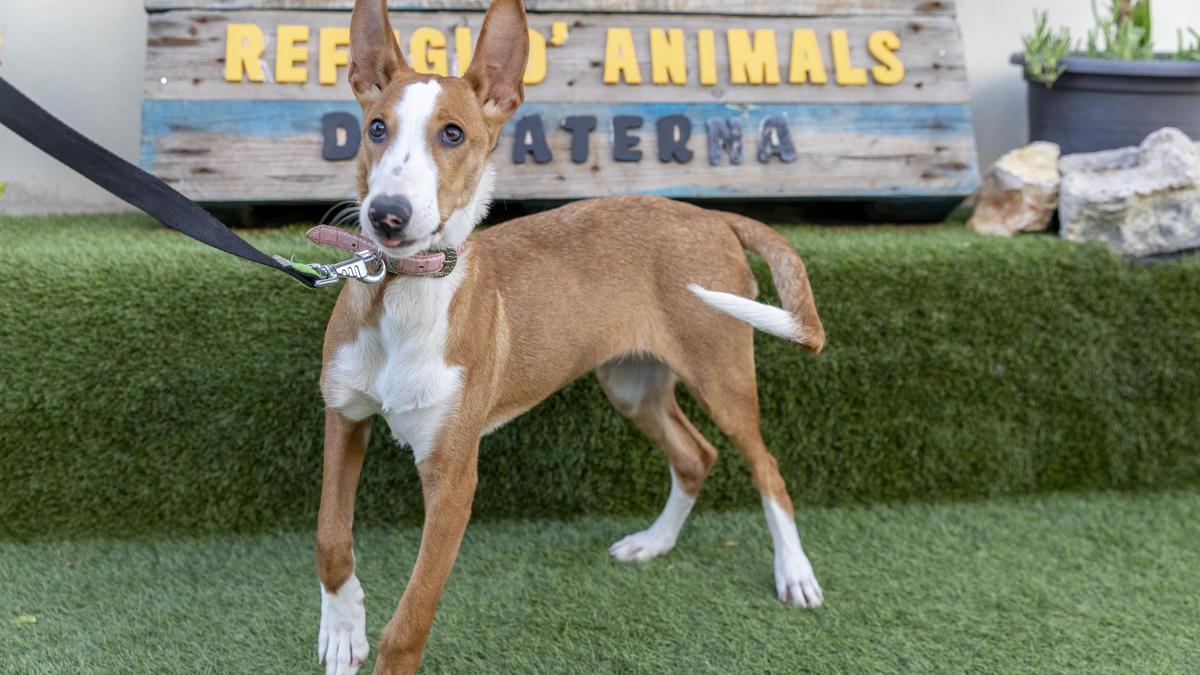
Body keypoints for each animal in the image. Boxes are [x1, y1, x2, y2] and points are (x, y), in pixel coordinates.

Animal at [314, 2, 830, 667]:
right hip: (633, 384)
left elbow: (408, 624)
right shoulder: (344, 416)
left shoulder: (453, 477)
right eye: (376, 129)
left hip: (722, 376)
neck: (402, 294)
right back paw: (653, 543)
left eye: (453, 134)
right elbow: (331, 535)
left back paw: (794, 573)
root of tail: (711, 214)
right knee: (696, 456)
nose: (387, 216)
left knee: (766, 467)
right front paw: (342, 627)